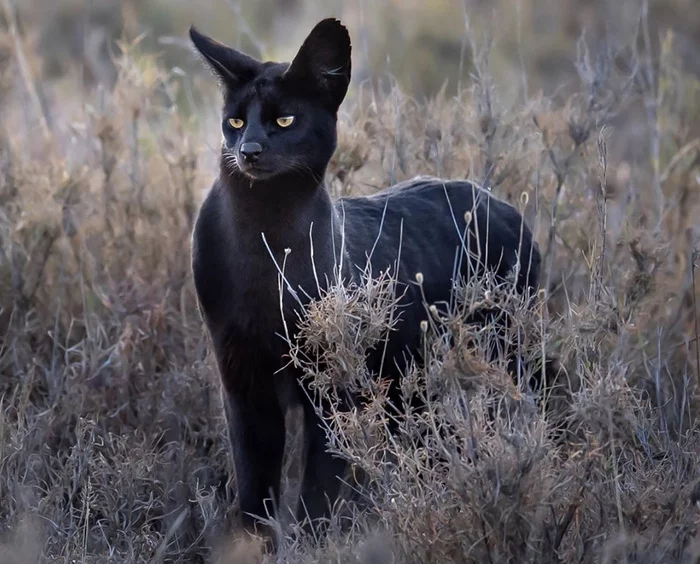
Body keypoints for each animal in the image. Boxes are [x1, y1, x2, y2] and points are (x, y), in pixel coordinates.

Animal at [189, 18, 544, 540]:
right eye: (234, 122)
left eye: (284, 121)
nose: (249, 150)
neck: (264, 237)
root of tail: (503, 206)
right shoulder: (242, 381)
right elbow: (255, 487)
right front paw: (253, 545)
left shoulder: (330, 389)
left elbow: (318, 486)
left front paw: (313, 543)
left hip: (502, 357)